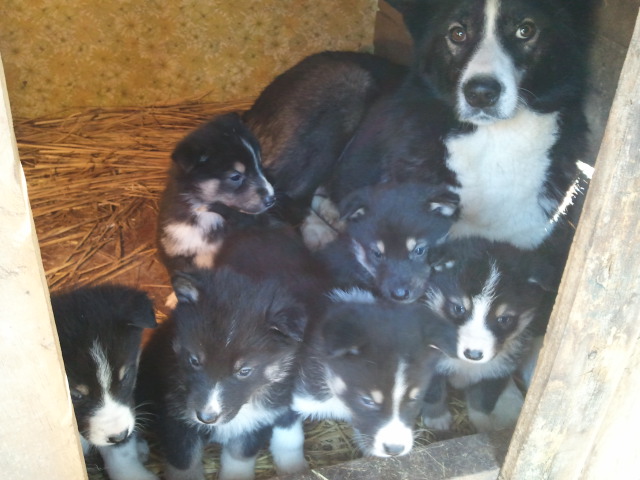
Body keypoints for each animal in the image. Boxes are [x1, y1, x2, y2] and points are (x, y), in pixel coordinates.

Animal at [136, 268, 310, 480]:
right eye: (194, 360)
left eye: (244, 371)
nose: (206, 417)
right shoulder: (175, 419)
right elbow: (185, 463)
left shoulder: (257, 422)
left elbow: (240, 457)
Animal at [420, 238, 555, 432]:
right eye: (458, 308)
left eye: (504, 319)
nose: (473, 354)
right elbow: (433, 392)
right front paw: (437, 419)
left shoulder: (496, 371)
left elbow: (482, 400)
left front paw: (485, 424)